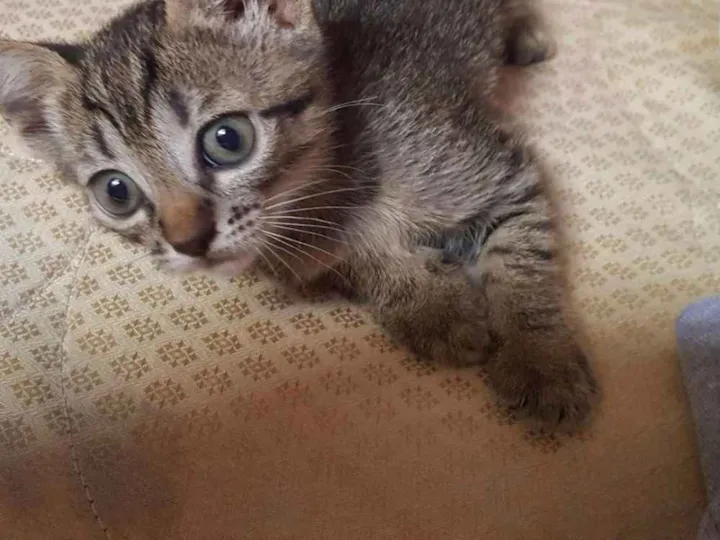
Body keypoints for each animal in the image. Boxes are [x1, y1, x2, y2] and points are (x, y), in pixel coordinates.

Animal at [0, 0, 598, 431]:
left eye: (228, 139)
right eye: (116, 192)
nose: (188, 241)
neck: (329, 194)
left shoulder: (501, 174)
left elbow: (521, 266)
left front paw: (542, 363)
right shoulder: (303, 257)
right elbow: (361, 263)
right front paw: (431, 308)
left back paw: (524, 35)